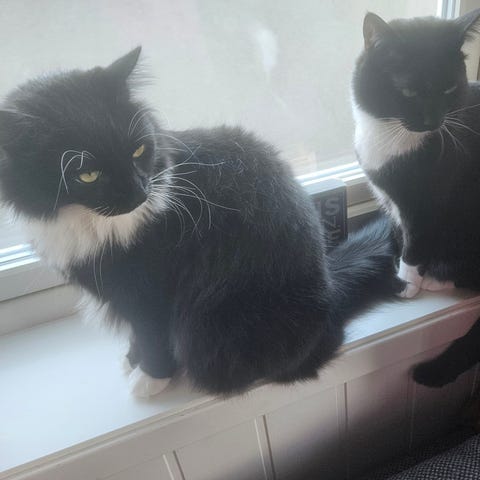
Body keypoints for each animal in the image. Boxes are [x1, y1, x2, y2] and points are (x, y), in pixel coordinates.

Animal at [0, 47, 400, 397]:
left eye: (138, 151)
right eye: (87, 174)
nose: (139, 192)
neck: (87, 222)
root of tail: (331, 289)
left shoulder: (149, 291)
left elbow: (151, 335)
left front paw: (149, 378)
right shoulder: (118, 291)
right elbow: (135, 333)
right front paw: (131, 360)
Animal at [352, 9, 480, 299]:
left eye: (449, 89)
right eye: (409, 91)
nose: (433, 121)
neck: (390, 134)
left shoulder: (427, 199)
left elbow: (416, 239)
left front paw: (406, 282)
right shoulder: (389, 199)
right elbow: (399, 232)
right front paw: (397, 263)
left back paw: (439, 279)